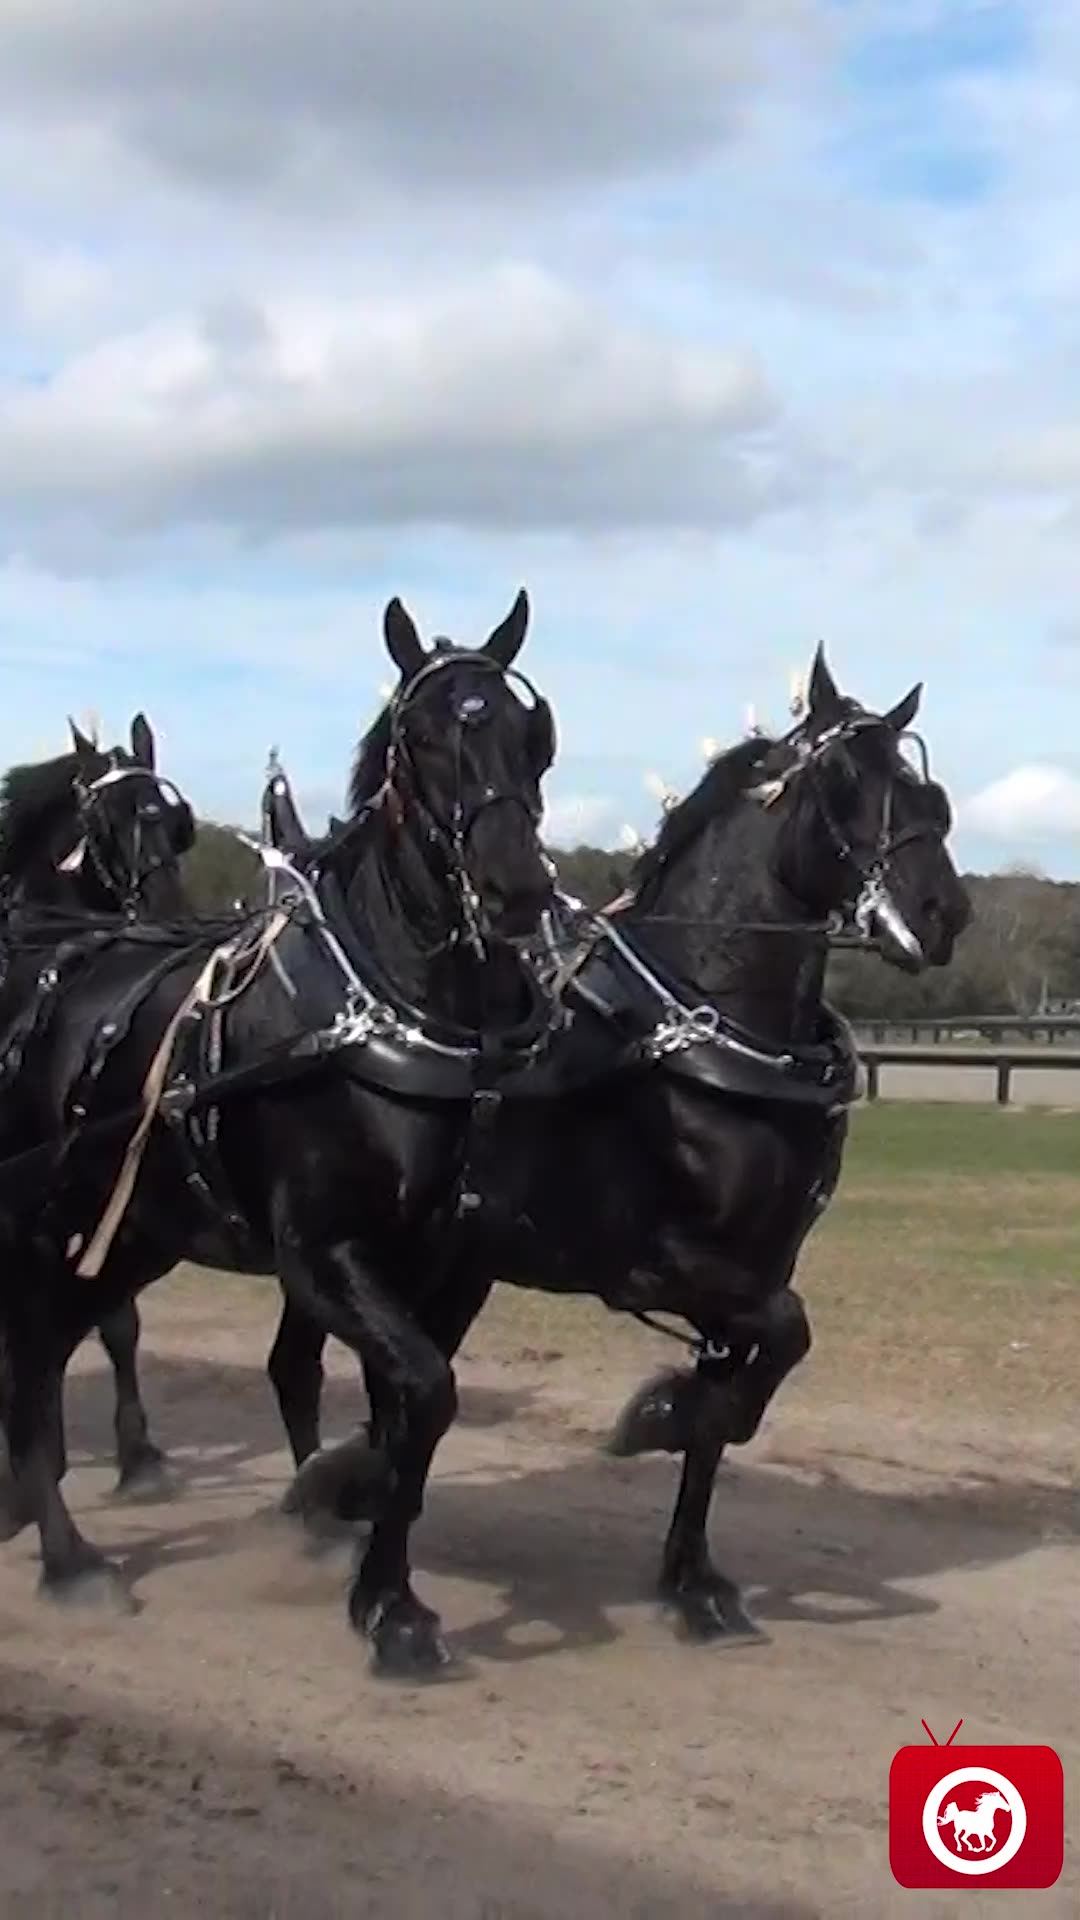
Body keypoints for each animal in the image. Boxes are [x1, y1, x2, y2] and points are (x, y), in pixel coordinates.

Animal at [0, 590, 557, 1676]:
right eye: (421, 740)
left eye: (531, 732)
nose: (517, 887)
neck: (390, 1018)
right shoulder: (323, 1254)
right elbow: (420, 1394)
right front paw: (343, 1520)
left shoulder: (449, 1262)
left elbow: (407, 1411)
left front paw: (378, 1576)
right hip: (46, 1223)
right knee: (35, 1353)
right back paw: (69, 1560)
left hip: (132, 1228)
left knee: (57, 1338)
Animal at [272, 647, 971, 1658]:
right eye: (847, 781)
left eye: (928, 792)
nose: (942, 909)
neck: (701, 1035)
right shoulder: (658, 1262)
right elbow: (781, 1341)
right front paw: (659, 1415)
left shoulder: (759, 1263)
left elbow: (741, 1397)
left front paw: (693, 1577)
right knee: (327, 1373)